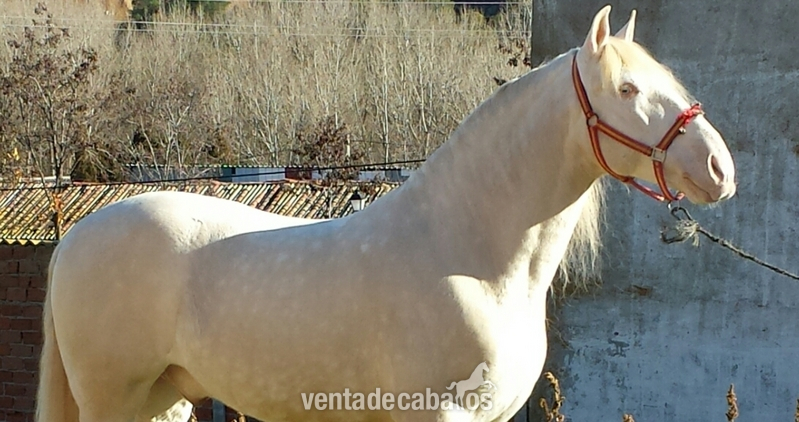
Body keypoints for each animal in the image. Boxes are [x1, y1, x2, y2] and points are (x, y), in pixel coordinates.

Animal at [36, 5, 737, 422]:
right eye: (627, 88)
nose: (719, 169)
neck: (473, 257)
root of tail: (73, 240)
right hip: (113, 399)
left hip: (165, 399)